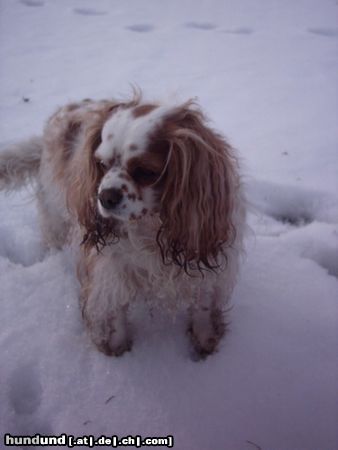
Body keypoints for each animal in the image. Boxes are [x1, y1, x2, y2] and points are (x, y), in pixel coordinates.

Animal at [1, 92, 247, 358]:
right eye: (101, 164)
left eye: (145, 171)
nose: (105, 197)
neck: (152, 227)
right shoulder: (110, 271)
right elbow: (113, 314)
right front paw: (117, 351)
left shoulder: (203, 264)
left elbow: (202, 305)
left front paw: (205, 341)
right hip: (53, 210)